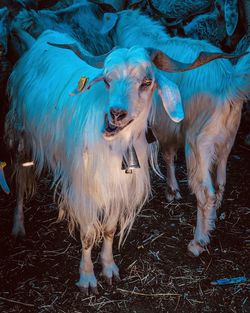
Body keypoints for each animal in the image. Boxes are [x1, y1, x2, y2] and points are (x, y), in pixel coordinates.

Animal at [5, 27, 229, 292]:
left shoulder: (120, 188)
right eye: (107, 80)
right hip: (21, 134)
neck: (116, 145)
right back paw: (18, 227)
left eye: (147, 81)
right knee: (20, 179)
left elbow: (110, 229)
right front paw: (87, 278)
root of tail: (42, 38)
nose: (116, 114)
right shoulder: (86, 188)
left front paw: (109, 268)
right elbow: (88, 234)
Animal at [101, 8, 250, 255]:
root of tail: (228, 82)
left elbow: (166, 154)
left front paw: (171, 190)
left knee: (205, 192)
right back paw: (213, 218)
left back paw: (199, 241)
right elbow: (169, 155)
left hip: (199, 144)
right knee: (220, 181)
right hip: (226, 139)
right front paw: (173, 191)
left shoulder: (162, 124)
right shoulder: (170, 127)